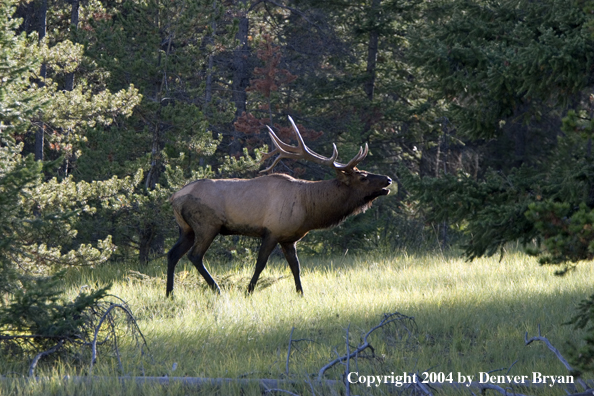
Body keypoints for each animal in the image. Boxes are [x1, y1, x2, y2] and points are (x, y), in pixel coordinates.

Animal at [164, 116, 390, 296]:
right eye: (362, 177)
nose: (387, 179)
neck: (309, 209)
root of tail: (174, 197)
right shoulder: (272, 231)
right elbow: (260, 264)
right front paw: (248, 291)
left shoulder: (289, 238)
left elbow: (296, 267)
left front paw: (301, 294)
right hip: (207, 225)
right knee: (195, 256)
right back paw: (217, 289)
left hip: (186, 229)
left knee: (173, 254)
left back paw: (170, 294)